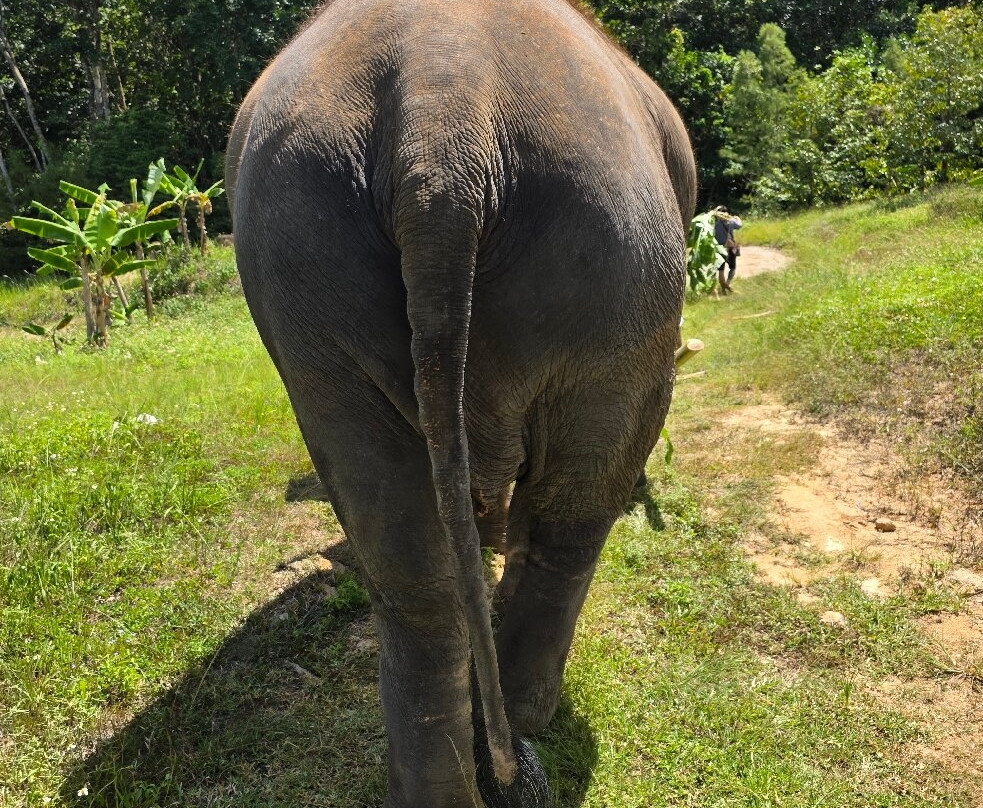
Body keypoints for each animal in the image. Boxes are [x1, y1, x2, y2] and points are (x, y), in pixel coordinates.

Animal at [226, 0, 696, 805]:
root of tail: (443, 117)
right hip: (625, 268)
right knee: (576, 508)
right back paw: (526, 719)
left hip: (300, 270)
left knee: (408, 572)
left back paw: (449, 774)